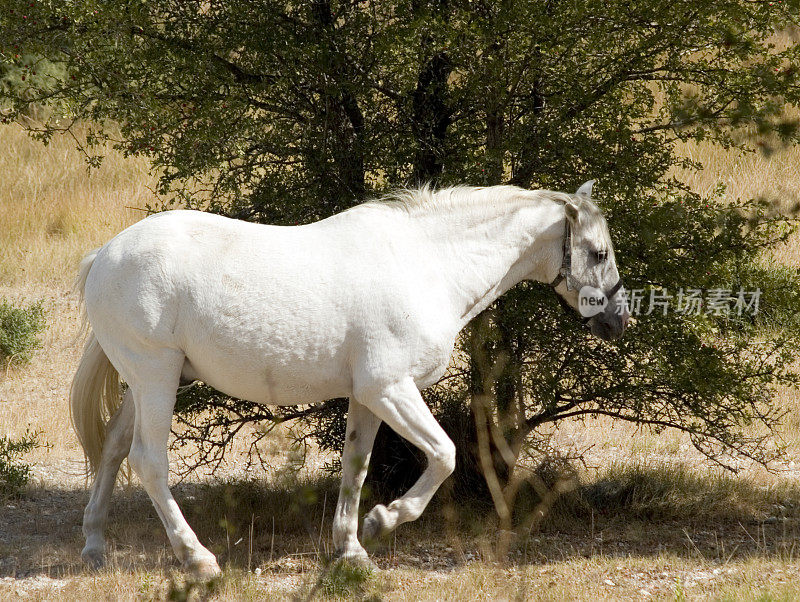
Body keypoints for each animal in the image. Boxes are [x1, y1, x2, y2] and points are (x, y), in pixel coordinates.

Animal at [69, 179, 628, 576]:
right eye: (598, 253)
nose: (620, 320)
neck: (429, 265)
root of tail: (105, 256)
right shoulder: (391, 389)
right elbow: (444, 454)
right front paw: (384, 520)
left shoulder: (367, 397)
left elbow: (355, 467)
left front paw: (351, 549)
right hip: (155, 377)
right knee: (148, 461)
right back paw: (198, 559)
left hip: (149, 382)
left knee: (114, 448)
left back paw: (94, 545)